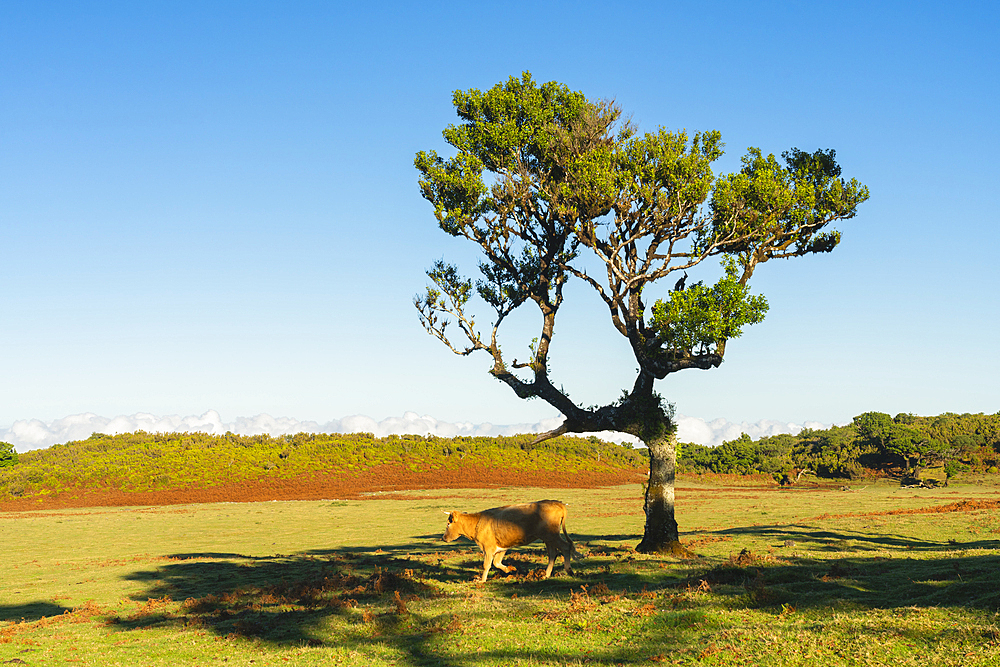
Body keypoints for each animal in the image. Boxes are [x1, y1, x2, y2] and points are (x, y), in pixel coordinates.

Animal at [440, 498, 580, 580]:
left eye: (448, 524)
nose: (443, 538)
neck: (477, 522)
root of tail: (556, 503)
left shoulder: (488, 548)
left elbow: (486, 565)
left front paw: (482, 581)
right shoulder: (501, 547)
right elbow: (497, 563)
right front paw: (510, 569)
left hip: (551, 536)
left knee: (565, 547)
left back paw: (569, 570)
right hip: (548, 538)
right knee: (553, 553)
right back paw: (546, 575)